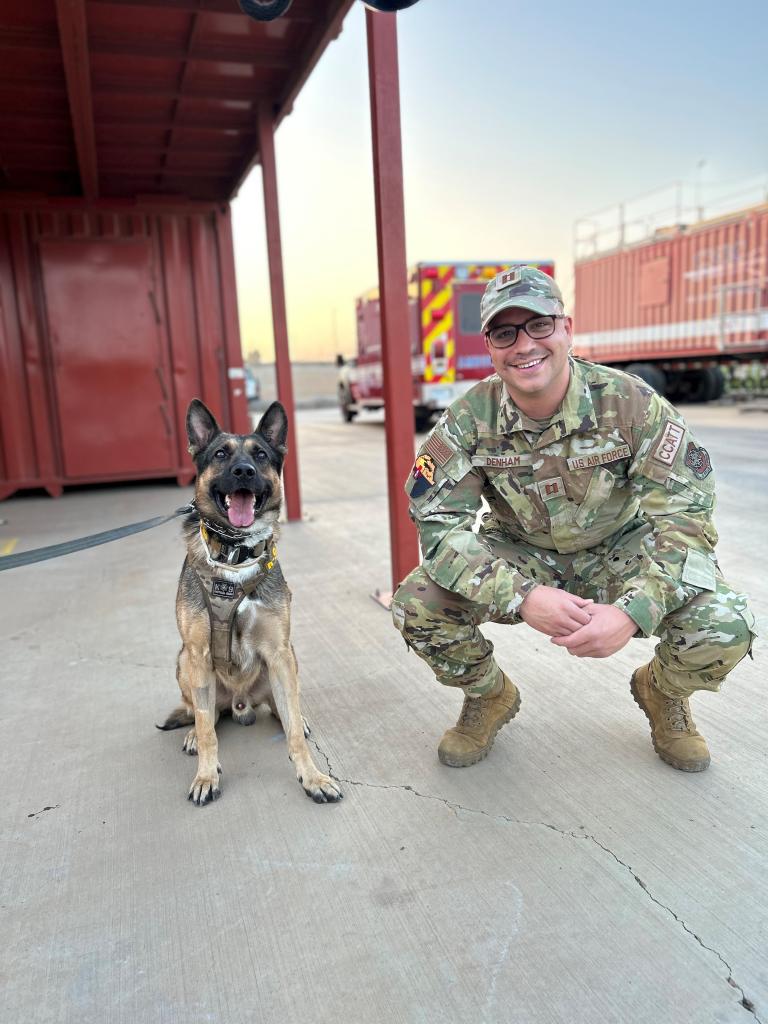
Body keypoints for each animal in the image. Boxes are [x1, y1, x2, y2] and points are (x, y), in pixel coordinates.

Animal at [159, 399, 342, 806]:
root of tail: (240, 703)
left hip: (288, 662)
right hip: (184, 662)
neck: (234, 557)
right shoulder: (197, 653)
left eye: (261, 455)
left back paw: (294, 717)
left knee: (283, 710)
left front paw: (312, 777)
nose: (244, 471)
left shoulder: (278, 652)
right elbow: (208, 730)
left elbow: (293, 735)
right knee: (204, 714)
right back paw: (194, 732)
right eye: (220, 454)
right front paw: (206, 776)